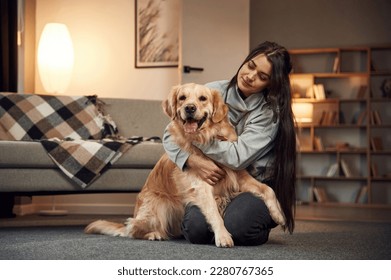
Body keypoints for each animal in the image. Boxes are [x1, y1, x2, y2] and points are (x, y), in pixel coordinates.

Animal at [86, 82, 286, 247]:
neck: (206, 137)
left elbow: (268, 189)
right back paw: (153, 234)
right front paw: (223, 236)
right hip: (159, 206)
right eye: (182, 97)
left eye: (203, 98)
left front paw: (279, 215)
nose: (189, 108)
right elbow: (214, 212)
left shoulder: (239, 175)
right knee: (132, 228)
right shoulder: (201, 184)